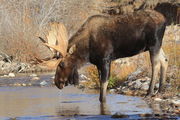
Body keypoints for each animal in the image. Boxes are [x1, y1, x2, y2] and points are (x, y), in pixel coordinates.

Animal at [38, 9, 169, 102]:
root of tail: (165, 19)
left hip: (154, 44)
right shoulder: (97, 63)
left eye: (62, 64)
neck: (86, 51)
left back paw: (149, 93)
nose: (57, 82)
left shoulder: (106, 59)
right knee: (165, 60)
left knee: (156, 64)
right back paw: (160, 91)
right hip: (157, 45)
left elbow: (103, 87)